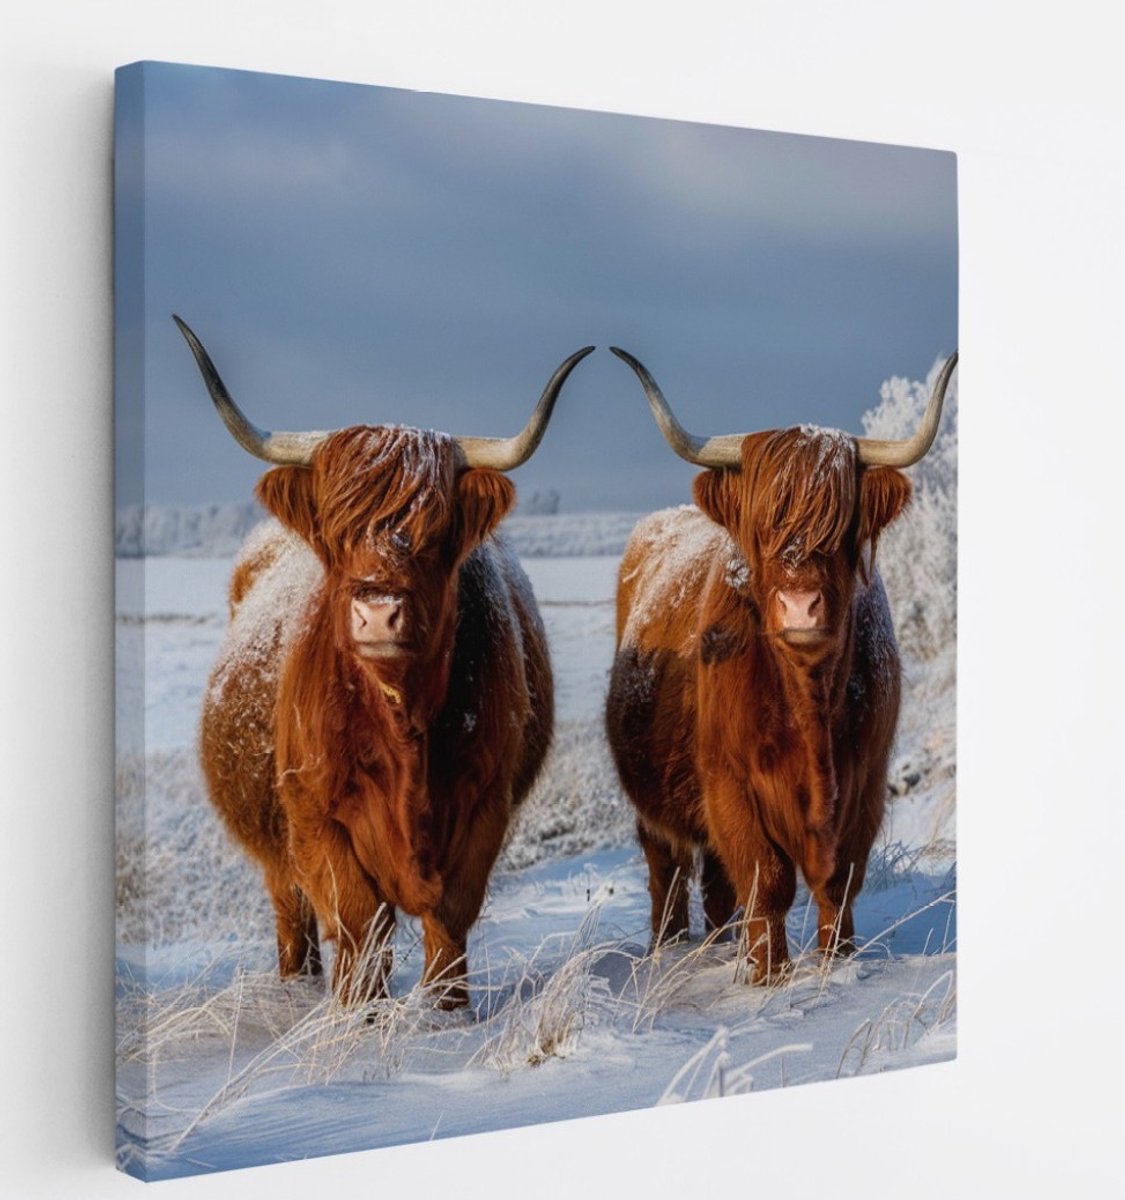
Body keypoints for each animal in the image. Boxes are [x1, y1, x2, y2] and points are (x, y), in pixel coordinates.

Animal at [175, 316, 593, 1008]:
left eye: (434, 533)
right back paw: (297, 987)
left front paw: (447, 1011)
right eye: (336, 531)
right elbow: (358, 920)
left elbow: (450, 915)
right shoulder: (316, 817)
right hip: (275, 850)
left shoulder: (484, 806)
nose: (376, 613)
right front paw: (360, 1014)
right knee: (293, 915)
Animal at [605, 347, 958, 984]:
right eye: (764, 527)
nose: (799, 606)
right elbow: (766, 881)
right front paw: (768, 976)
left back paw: (719, 944)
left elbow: (839, 882)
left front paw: (836, 963)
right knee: (667, 869)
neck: (808, 696)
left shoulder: (866, 785)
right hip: (655, 802)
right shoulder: (729, 785)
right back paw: (671, 948)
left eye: (840, 525)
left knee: (716, 887)